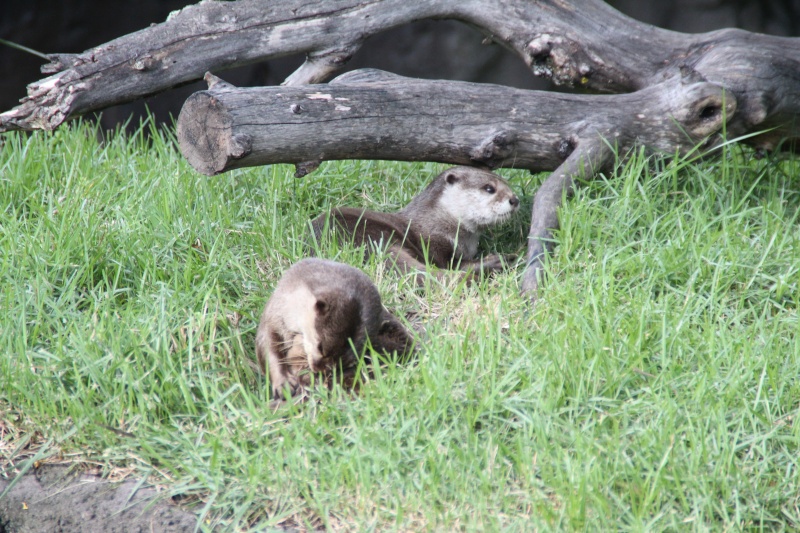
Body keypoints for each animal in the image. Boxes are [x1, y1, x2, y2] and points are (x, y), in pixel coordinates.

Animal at [256, 258, 416, 400]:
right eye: (320, 347)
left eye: (344, 363)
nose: (320, 371)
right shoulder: (273, 315)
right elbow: (267, 349)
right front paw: (283, 384)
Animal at [310, 166, 520, 282]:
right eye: (489, 188)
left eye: (507, 183)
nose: (515, 199)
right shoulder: (434, 243)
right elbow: (451, 264)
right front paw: (494, 260)